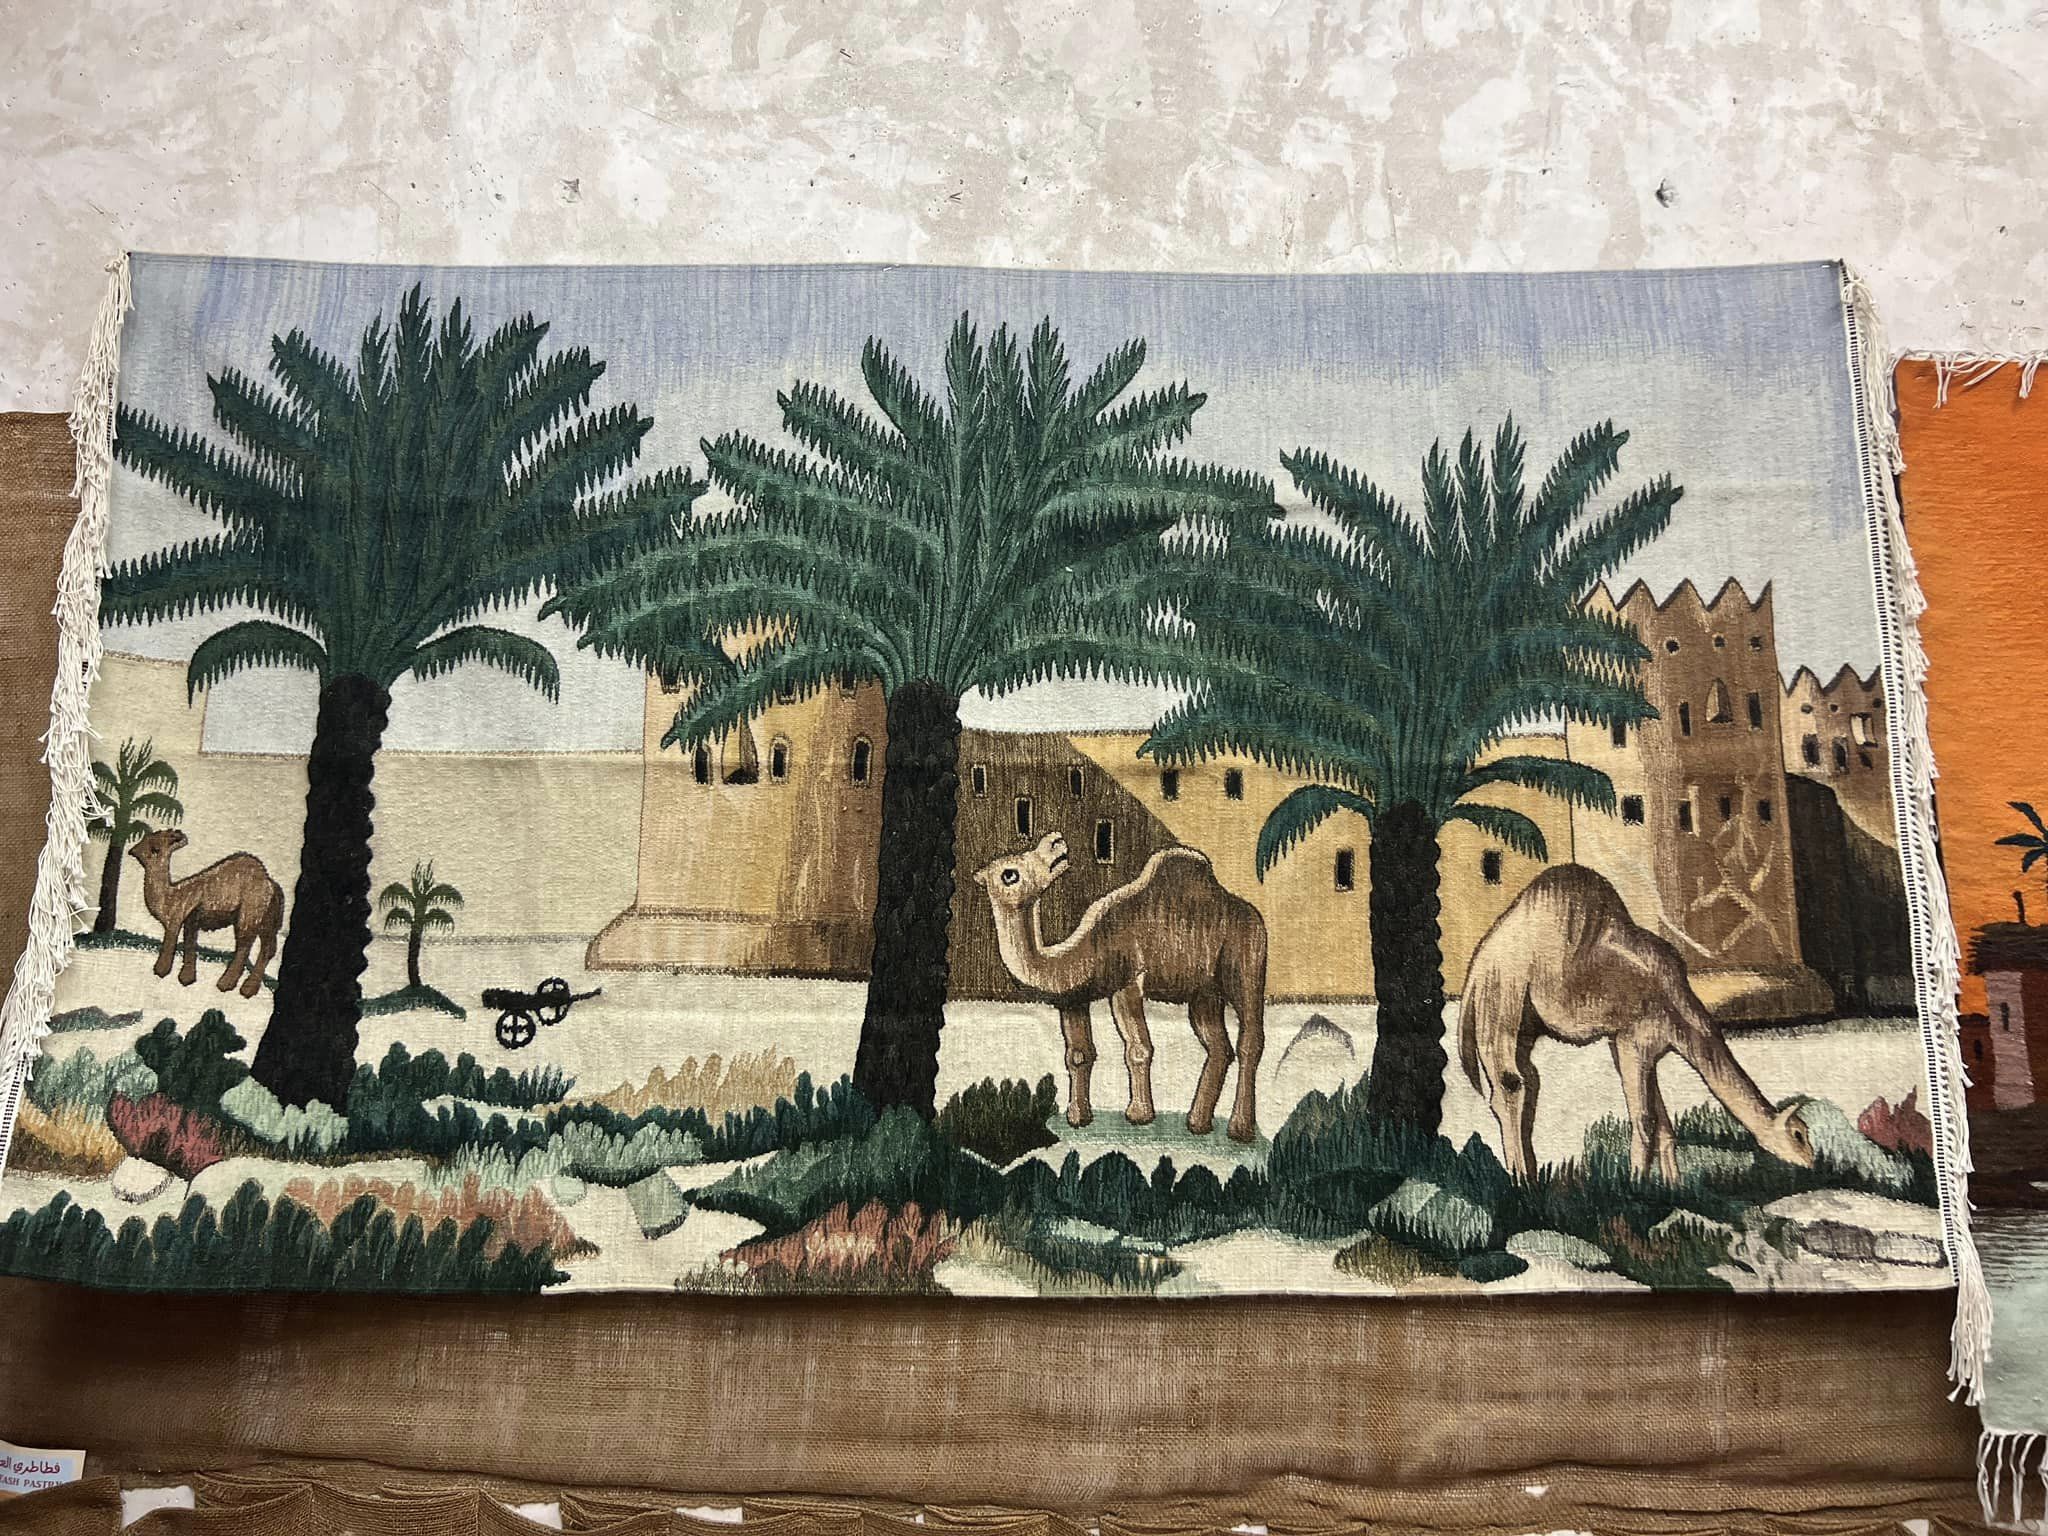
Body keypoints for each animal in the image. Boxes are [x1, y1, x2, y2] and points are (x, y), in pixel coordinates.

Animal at [128, 829, 284, 998]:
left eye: (155, 847)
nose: (132, 851)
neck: (171, 897)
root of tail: (272, 885)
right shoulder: (191, 920)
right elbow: (190, 944)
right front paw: (186, 978)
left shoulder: (177, 918)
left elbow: (171, 942)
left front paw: (161, 971)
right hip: (266, 919)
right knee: (268, 947)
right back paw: (249, 988)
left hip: (249, 912)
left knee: (245, 945)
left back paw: (227, 984)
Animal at [972, 833, 1269, 1142]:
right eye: (1009, 873)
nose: (1055, 842)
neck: (1087, 949)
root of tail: (1251, 914)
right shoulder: (1074, 998)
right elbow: (1078, 1054)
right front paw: (1078, 1118)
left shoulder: (1128, 982)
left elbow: (1138, 1048)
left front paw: (1138, 1115)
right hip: (1205, 991)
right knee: (1218, 1046)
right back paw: (1198, 1123)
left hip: (1247, 960)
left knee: (1250, 1039)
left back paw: (1240, 1129)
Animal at [1458, 864, 1816, 1183]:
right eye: (1798, 1134)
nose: (1810, 1160)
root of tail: (1476, 967)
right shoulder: (1635, 1039)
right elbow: (1645, 1119)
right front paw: (1636, 1187)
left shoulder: (1642, 1046)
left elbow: (1663, 1123)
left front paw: (1674, 1186)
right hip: (1502, 996)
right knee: (1509, 1084)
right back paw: (1522, 1181)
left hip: (1524, 1021)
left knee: (1525, 1080)